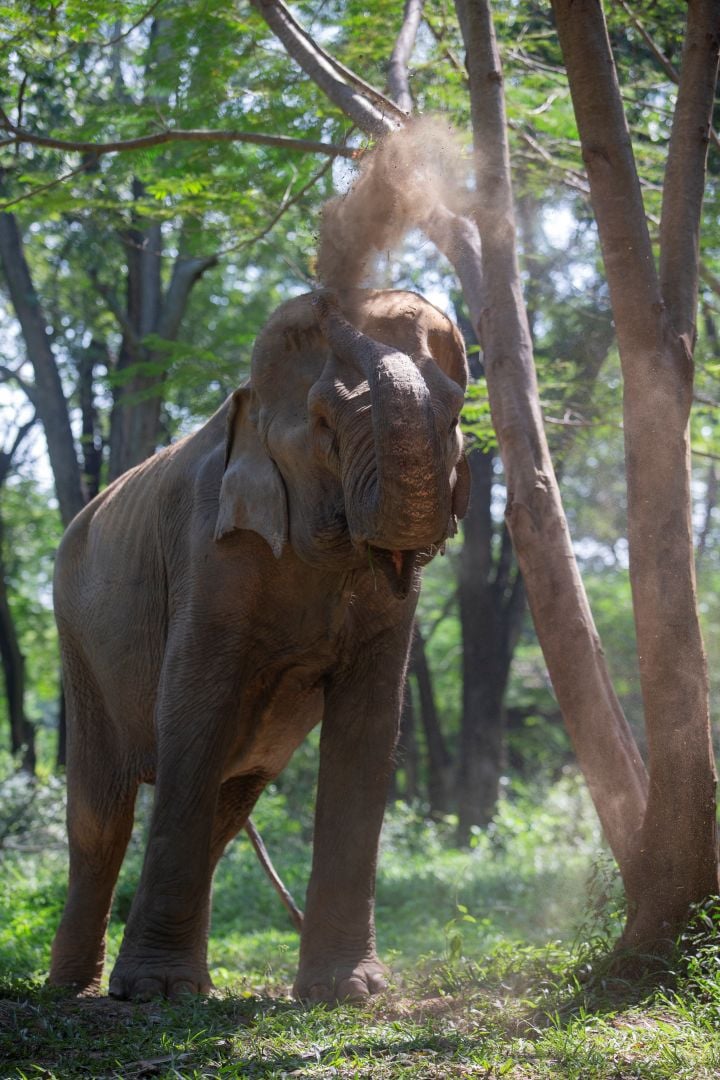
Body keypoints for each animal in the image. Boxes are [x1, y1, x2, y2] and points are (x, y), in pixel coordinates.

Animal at [48, 288, 469, 1003]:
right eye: (323, 424)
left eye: (458, 417)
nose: (331, 299)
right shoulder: (209, 548)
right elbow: (194, 708)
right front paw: (152, 991)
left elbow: (370, 724)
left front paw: (350, 992)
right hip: (79, 646)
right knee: (101, 818)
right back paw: (74, 987)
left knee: (225, 804)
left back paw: (192, 983)